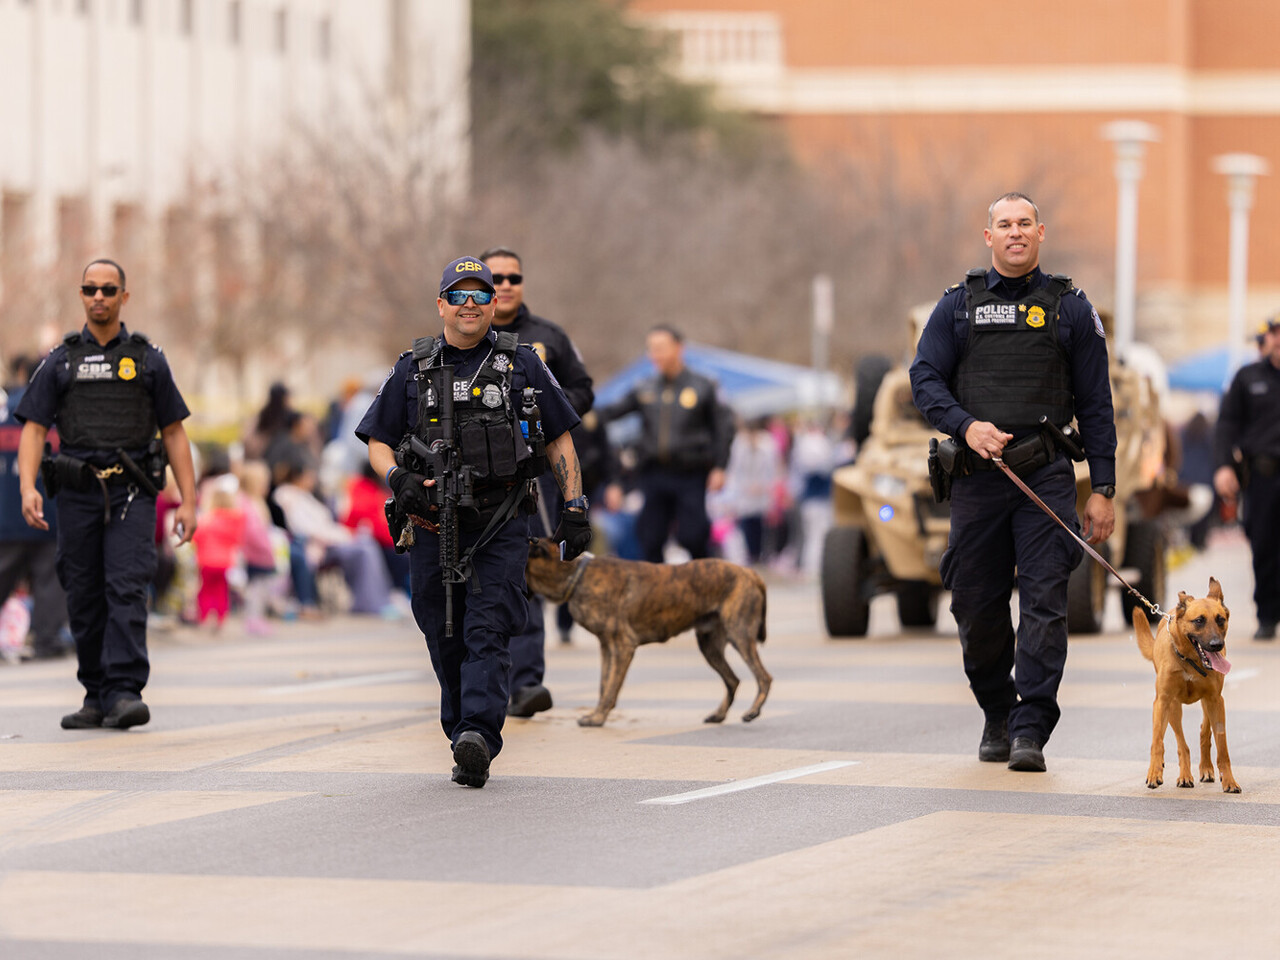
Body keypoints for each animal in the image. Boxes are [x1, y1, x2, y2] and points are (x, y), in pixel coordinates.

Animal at [527, 542, 773, 727]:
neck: (576, 574)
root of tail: (749, 572)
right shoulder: (606, 647)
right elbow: (604, 685)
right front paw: (597, 714)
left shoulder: (623, 646)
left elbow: (611, 688)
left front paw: (598, 718)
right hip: (709, 646)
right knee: (733, 680)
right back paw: (719, 715)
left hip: (739, 635)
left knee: (764, 677)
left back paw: (753, 711)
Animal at [1131, 578, 1239, 798]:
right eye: (1199, 620)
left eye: (1220, 619)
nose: (1216, 645)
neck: (1190, 660)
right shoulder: (1163, 701)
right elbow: (1157, 740)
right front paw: (1154, 772)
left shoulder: (1216, 700)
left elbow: (1222, 746)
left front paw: (1229, 780)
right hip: (1173, 707)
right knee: (1181, 743)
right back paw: (1184, 776)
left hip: (1209, 703)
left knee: (1204, 731)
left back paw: (1206, 769)